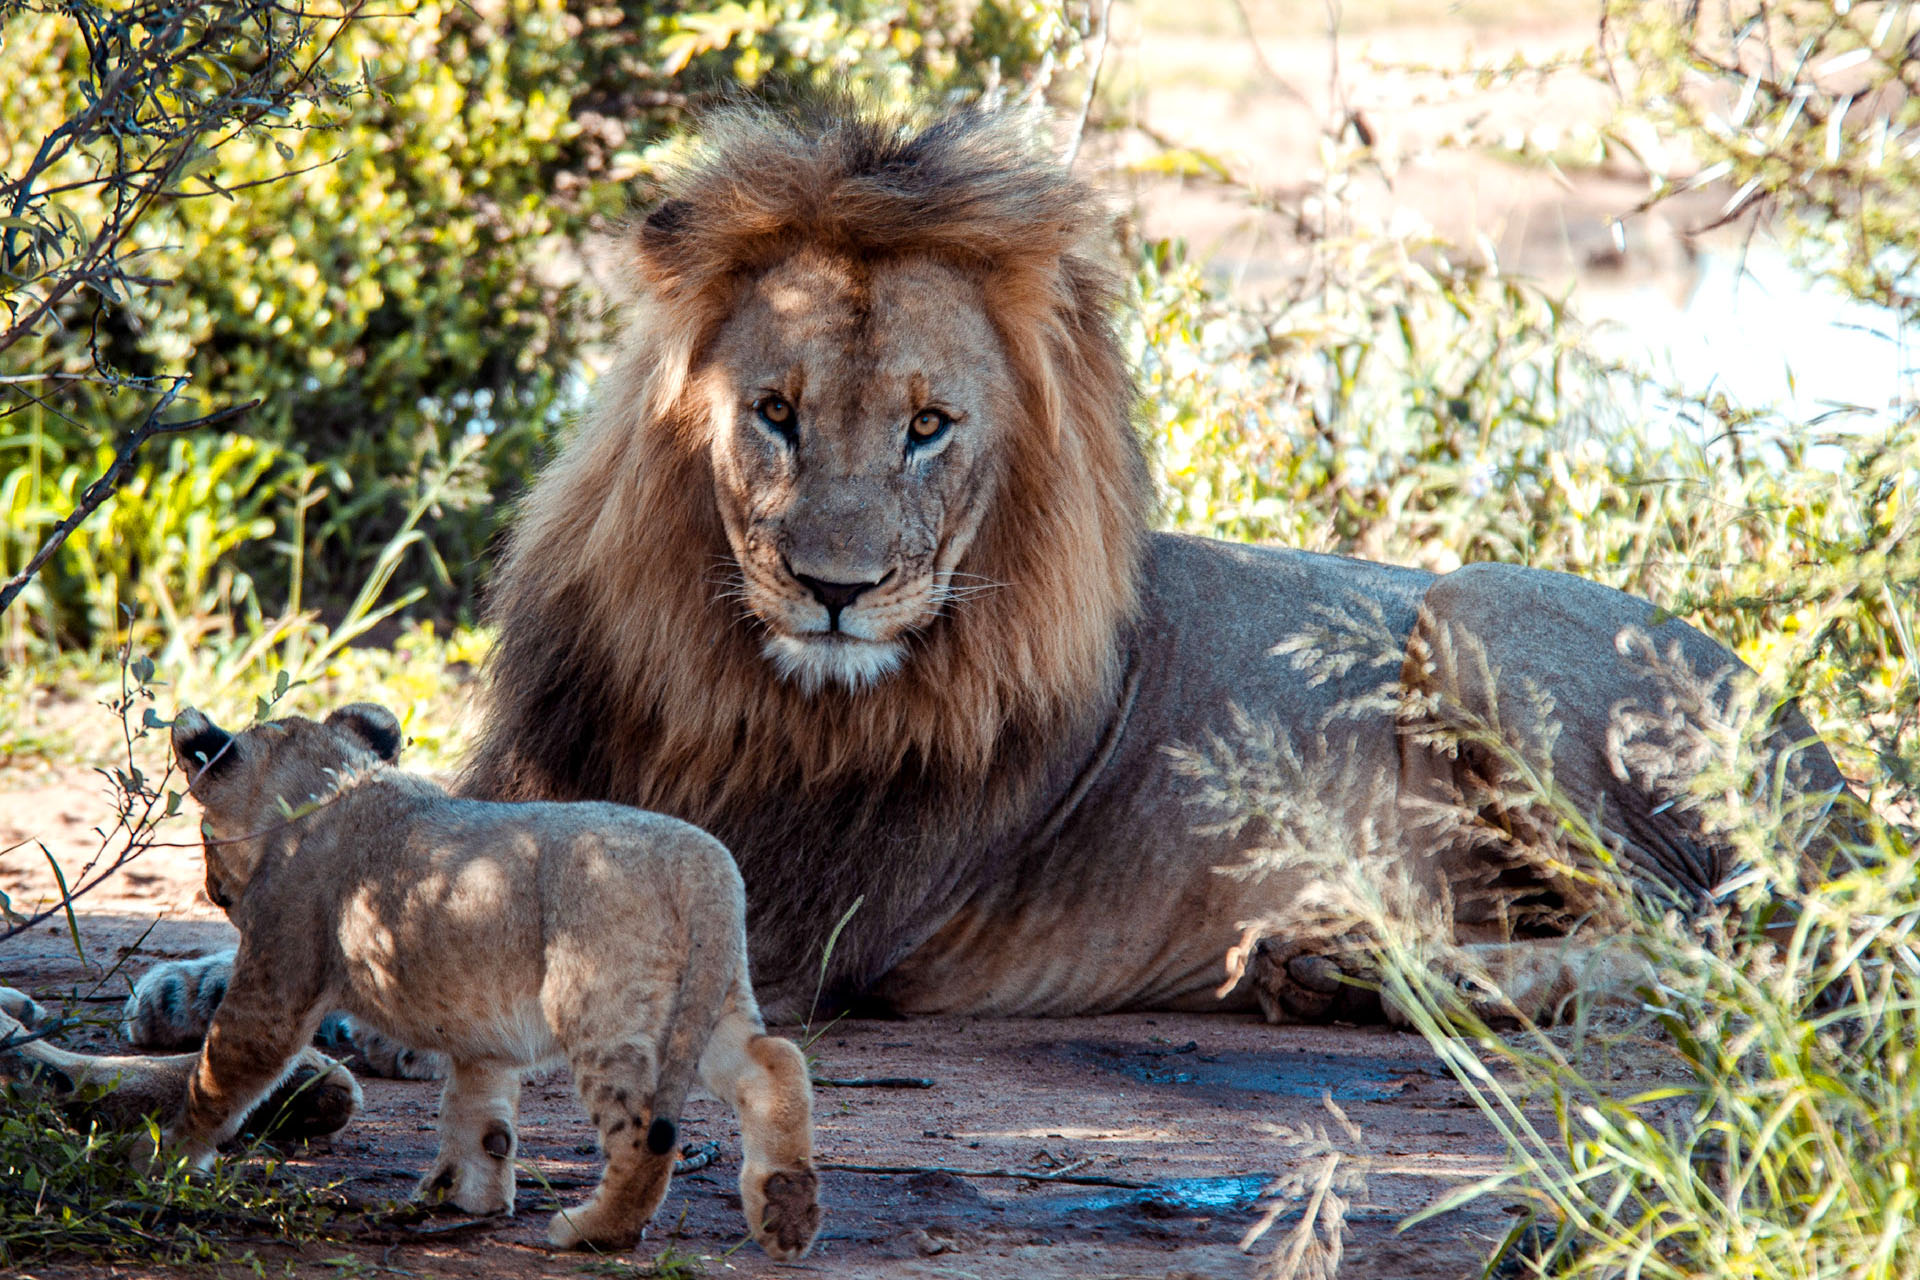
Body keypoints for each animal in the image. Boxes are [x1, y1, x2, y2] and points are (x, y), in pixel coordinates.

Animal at [122, 101, 1853, 1051]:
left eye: (929, 427)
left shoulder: (787, 919)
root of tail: (1831, 763)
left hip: (1474, 611)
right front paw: (190, 982)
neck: (724, 671)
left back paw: (1355, 965)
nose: (835, 589)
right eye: (775, 412)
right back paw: (1333, 969)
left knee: (1725, 954)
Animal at [148, 702, 819, 1259]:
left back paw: (590, 1230)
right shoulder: (481, 1035)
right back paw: (786, 1212)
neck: (331, 782)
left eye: (202, 833)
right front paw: (468, 1198)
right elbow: (481, 1116)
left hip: (603, 1009)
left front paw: (160, 1157)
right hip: (705, 998)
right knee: (774, 1063)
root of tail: (703, 860)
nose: (212, 890)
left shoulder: (277, 979)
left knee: (644, 1138)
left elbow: (219, 1074)